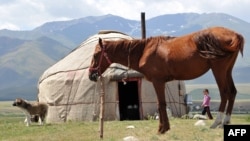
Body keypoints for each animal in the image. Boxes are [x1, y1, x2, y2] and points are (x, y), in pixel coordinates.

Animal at [88, 26, 244, 134]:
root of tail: (234, 35)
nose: (91, 75)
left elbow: (161, 104)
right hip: (227, 70)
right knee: (232, 92)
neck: (144, 52)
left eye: (95, 55)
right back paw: (225, 122)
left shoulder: (158, 81)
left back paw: (217, 123)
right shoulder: (160, 82)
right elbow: (160, 104)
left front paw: (162, 129)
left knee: (224, 93)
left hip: (219, 70)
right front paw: (165, 128)